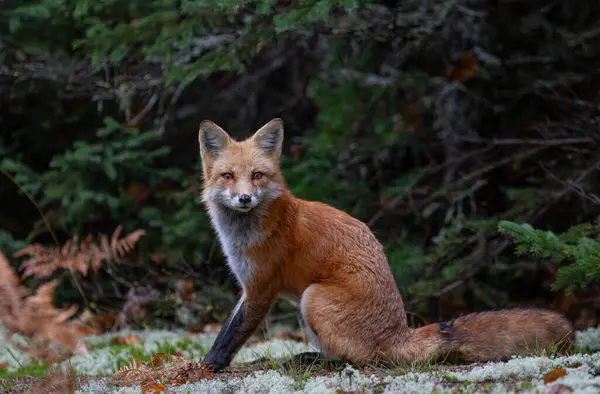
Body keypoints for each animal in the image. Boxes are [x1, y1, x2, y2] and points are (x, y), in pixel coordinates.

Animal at [196, 118, 572, 370]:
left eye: (257, 176)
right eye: (228, 176)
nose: (245, 198)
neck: (246, 231)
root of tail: (399, 332)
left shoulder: (261, 287)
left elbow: (232, 333)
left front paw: (208, 365)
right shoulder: (249, 286)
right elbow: (230, 328)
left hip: (312, 298)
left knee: (358, 359)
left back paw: (314, 361)